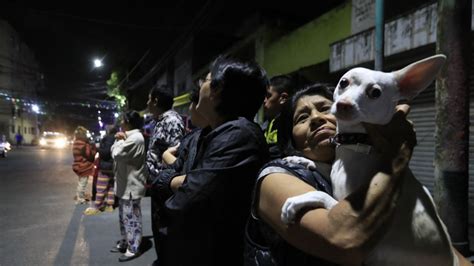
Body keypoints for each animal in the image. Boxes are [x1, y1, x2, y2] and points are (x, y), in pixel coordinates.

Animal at [282, 55, 460, 264]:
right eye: (344, 82)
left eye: (375, 93)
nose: (344, 104)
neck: (356, 143)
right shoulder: (335, 170)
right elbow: (325, 166)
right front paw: (300, 159)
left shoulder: (346, 210)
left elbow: (322, 194)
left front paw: (299, 200)